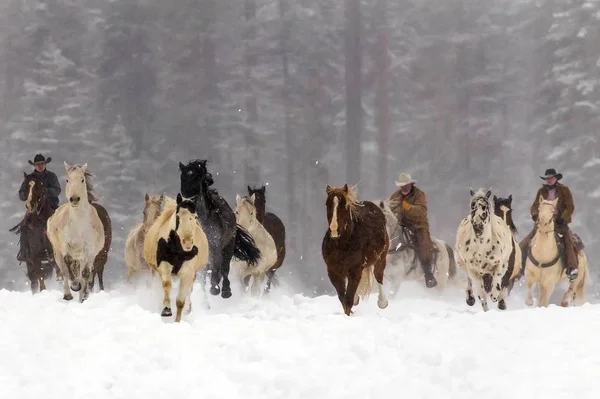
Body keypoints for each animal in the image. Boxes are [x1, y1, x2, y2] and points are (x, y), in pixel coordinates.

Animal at [46, 162, 105, 304]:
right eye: (67, 180)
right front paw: (74, 286)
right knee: (64, 271)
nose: (74, 199)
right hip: (57, 253)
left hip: (85, 257)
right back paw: (68, 294)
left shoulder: (89, 251)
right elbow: (68, 265)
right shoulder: (65, 246)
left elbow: (86, 274)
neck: (79, 226)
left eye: (82, 179)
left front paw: (83, 296)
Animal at [143, 193, 211, 322]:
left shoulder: (188, 273)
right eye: (178, 216)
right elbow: (167, 285)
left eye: (195, 216)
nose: (188, 243)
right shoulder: (164, 266)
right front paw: (166, 310)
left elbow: (180, 301)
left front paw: (178, 321)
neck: (179, 250)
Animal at [179, 159, 262, 300]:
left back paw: (225, 291)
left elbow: (217, 269)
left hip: (228, 247)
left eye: (197, 177)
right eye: (182, 177)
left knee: (224, 269)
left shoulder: (216, 247)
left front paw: (215, 288)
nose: (187, 200)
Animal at [322, 184, 392, 316]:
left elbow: (348, 299)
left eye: (344, 205)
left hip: (381, 257)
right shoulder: (333, 271)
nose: (334, 230)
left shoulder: (355, 270)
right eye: (327, 204)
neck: (342, 245)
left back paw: (382, 302)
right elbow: (343, 298)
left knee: (378, 275)